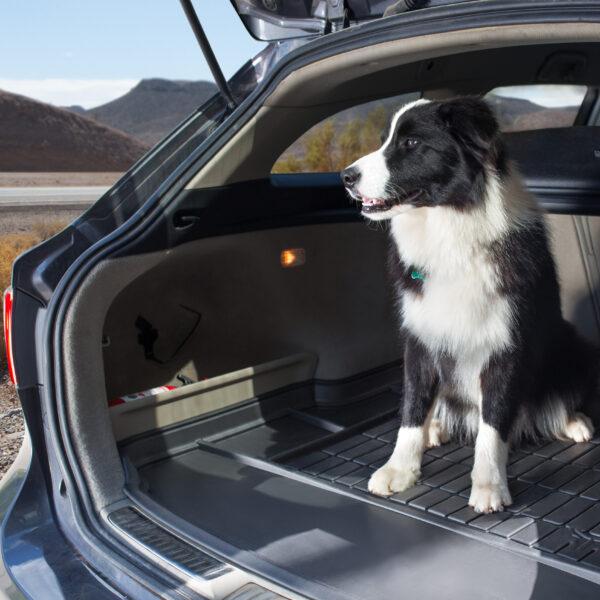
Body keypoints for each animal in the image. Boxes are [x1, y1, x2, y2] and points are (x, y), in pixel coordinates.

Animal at [342, 98, 600, 516]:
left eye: (411, 142)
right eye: (384, 141)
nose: (345, 177)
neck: (451, 229)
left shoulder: (505, 344)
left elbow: (492, 425)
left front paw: (489, 485)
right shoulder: (420, 339)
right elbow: (411, 410)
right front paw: (399, 470)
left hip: (575, 345)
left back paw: (573, 421)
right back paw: (436, 427)